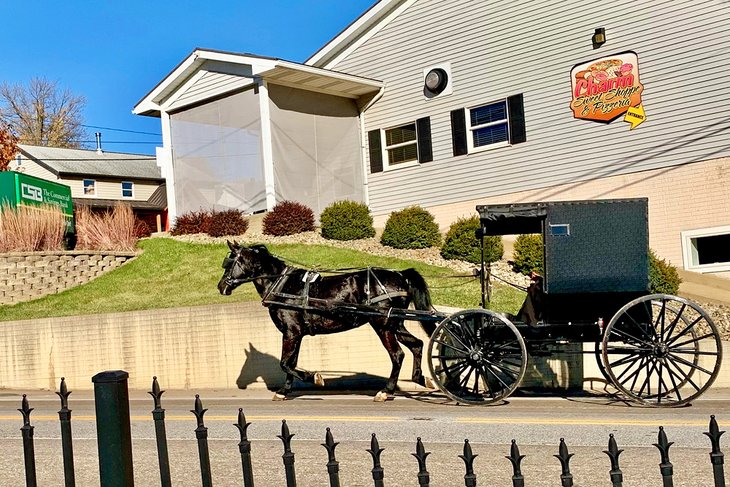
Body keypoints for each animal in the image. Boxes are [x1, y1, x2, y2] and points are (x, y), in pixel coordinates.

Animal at [215, 242, 432, 402]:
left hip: (382, 325)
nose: (221, 286)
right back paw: (420, 378)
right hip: (395, 324)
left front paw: (314, 377)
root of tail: (400, 275)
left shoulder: (291, 332)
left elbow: (285, 363)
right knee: (417, 345)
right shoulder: (296, 334)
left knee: (397, 355)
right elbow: (291, 362)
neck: (283, 286)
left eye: (229, 262)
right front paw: (284, 391)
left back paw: (386, 391)